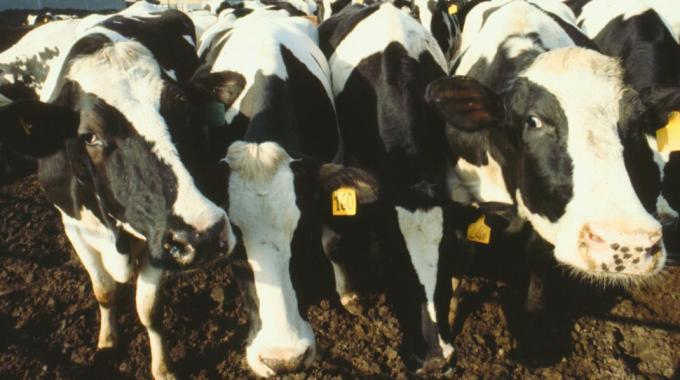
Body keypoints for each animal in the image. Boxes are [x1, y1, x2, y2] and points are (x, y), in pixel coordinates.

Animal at [0, 4, 235, 378]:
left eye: (185, 113)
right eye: (90, 136)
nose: (204, 235)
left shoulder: (158, 239)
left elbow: (149, 310)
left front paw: (162, 367)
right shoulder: (75, 228)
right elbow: (104, 292)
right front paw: (108, 341)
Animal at [432, 0, 668, 314]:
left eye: (639, 123)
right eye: (533, 121)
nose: (626, 243)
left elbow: (537, 259)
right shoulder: (459, 195)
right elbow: (462, 256)